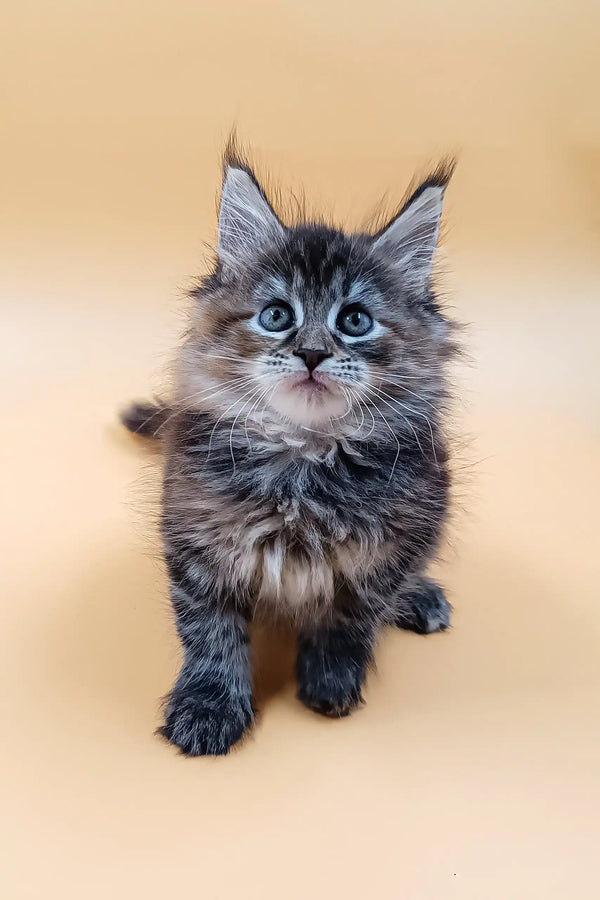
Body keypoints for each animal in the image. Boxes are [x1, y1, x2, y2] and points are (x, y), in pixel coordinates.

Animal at [122, 146, 460, 752]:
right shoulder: (195, 539)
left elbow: (351, 618)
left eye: (354, 320)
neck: (304, 462)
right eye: (277, 315)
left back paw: (420, 597)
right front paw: (207, 705)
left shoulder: (394, 544)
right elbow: (210, 634)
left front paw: (330, 678)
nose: (311, 353)